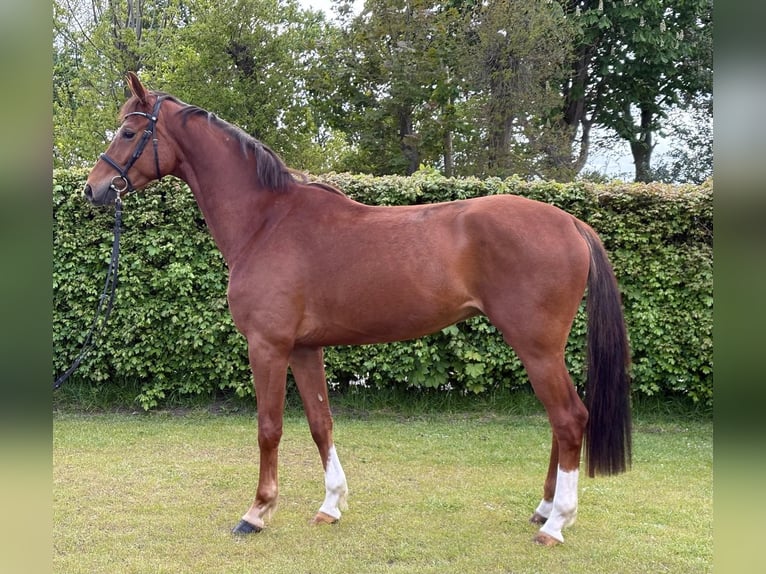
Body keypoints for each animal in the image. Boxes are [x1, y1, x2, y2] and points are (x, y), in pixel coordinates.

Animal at [84, 72, 631, 546]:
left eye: (129, 130)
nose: (94, 188)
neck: (266, 222)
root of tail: (571, 223)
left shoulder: (268, 346)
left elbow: (269, 428)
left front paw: (257, 511)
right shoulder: (304, 349)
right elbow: (320, 423)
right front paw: (331, 504)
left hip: (536, 346)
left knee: (569, 418)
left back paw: (555, 523)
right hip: (541, 350)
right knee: (558, 422)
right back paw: (544, 509)